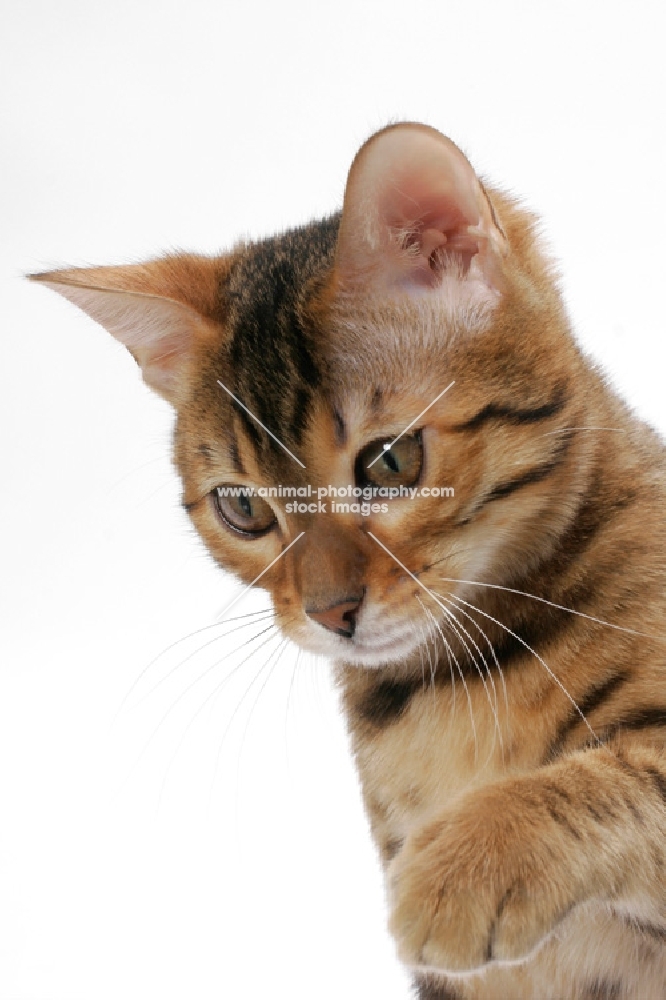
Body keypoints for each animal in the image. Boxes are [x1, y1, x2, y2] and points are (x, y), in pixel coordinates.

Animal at [33, 125, 664, 1000]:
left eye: (390, 461)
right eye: (242, 508)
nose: (330, 613)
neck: (458, 680)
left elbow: (619, 774)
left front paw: (462, 867)